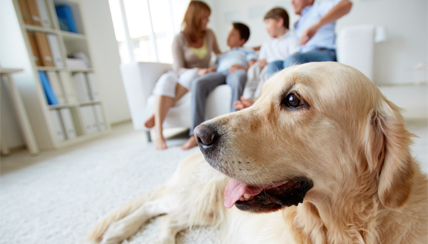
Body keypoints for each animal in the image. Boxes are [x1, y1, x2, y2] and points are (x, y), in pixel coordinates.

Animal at [87, 63, 428, 244]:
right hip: (198, 195)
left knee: (167, 220)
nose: (199, 135)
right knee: (155, 206)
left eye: (292, 100)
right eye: (259, 97)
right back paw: (118, 231)